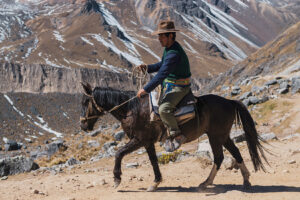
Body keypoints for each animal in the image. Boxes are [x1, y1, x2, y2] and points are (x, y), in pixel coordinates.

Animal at [79, 81, 268, 192]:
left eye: (85, 102)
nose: (83, 125)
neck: (132, 109)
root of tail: (229, 102)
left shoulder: (139, 140)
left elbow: (119, 153)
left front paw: (117, 179)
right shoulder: (147, 142)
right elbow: (153, 161)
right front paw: (155, 182)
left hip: (216, 136)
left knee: (220, 157)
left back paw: (206, 183)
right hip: (222, 136)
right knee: (234, 152)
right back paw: (244, 180)